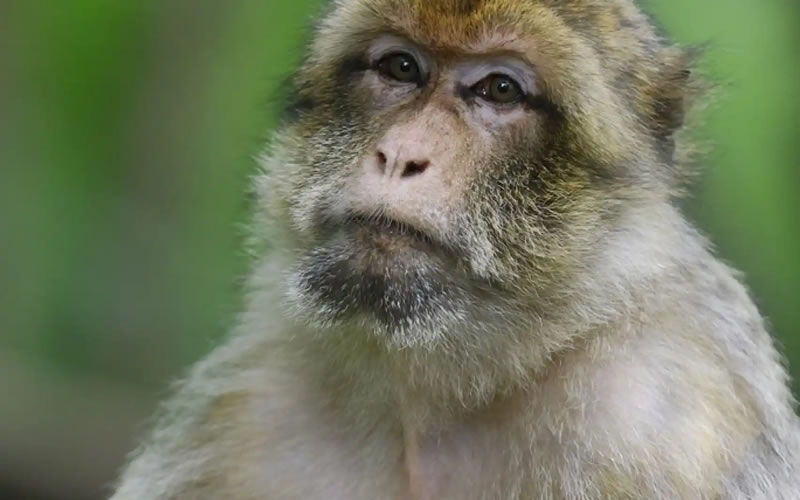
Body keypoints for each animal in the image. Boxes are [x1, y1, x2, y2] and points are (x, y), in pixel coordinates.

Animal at [111, 0, 800, 498]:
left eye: (499, 89)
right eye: (401, 68)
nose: (400, 155)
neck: (440, 392)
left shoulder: (663, 424)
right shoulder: (239, 411)